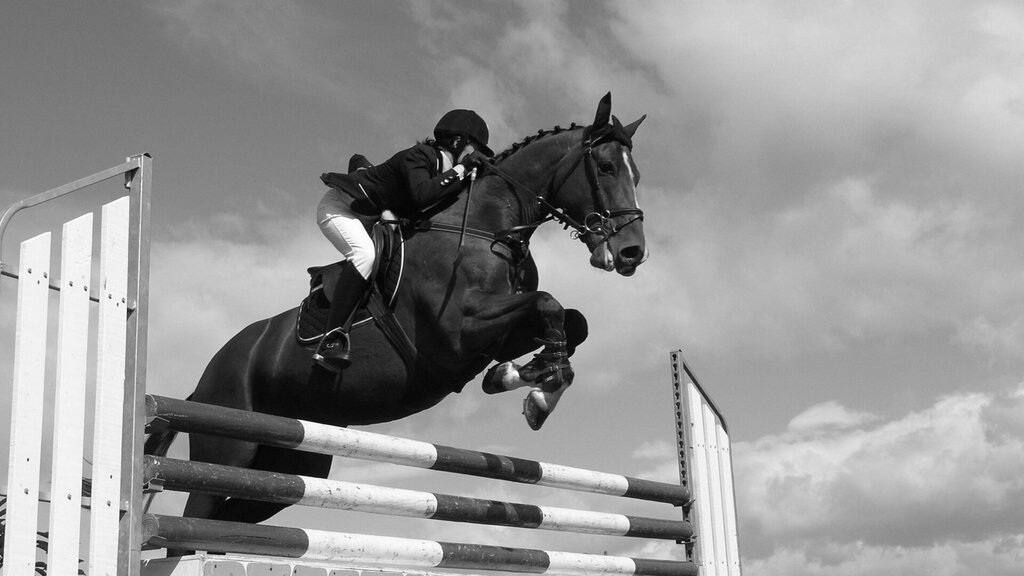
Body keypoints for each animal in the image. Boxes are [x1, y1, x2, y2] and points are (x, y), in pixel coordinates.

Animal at [145, 93, 648, 533]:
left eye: (637, 174)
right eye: (605, 167)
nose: (632, 253)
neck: (490, 229)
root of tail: (201, 382)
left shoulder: (497, 333)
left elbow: (571, 320)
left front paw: (523, 379)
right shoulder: (459, 332)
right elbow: (550, 304)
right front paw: (536, 392)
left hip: (296, 461)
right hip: (229, 447)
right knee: (197, 511)